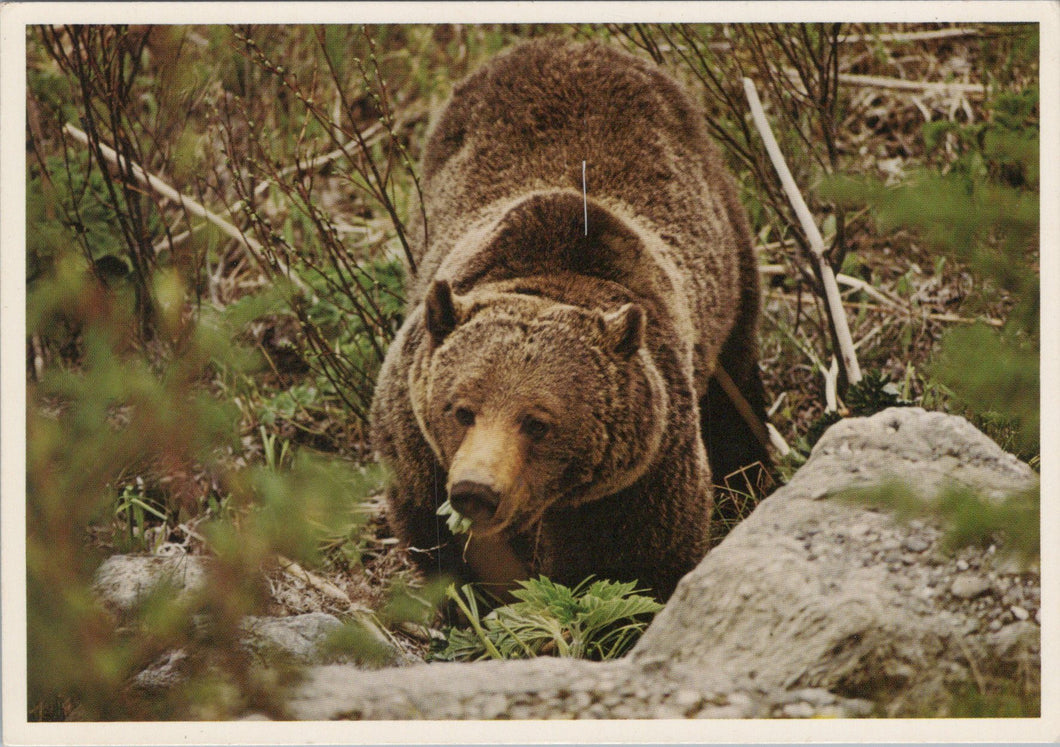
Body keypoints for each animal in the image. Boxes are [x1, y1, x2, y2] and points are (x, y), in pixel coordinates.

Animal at [370, 39, 769, 602]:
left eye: (537, 422)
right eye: (461, 409)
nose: (475, 490)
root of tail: (570, 43)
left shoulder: (641, 469)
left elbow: (639, 561)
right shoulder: (415, 445)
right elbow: (447, 549)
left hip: (729, 249)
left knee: (735, 379)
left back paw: (749, 475)